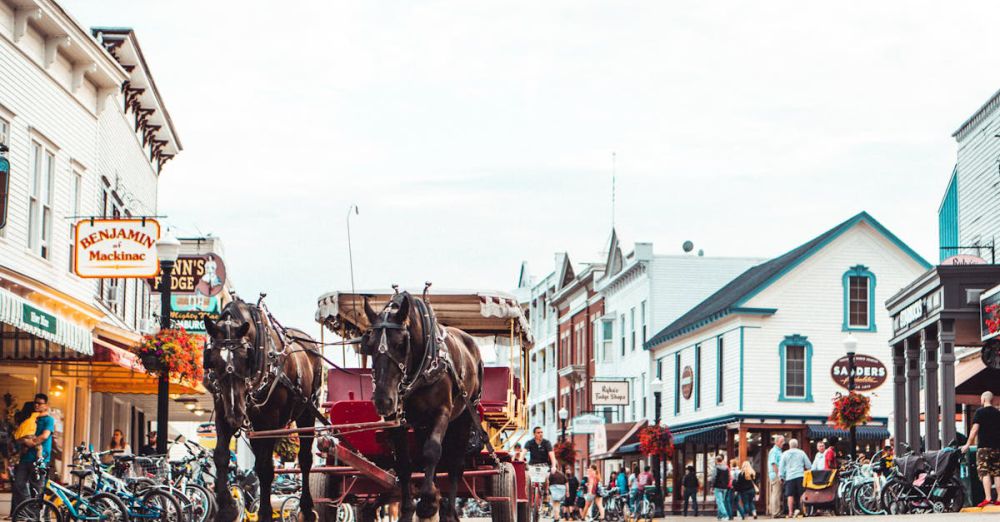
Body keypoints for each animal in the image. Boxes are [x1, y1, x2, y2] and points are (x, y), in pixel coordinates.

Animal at [204, 296, 324, 520]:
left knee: (304, 459)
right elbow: (221, 456)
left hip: (306, 412)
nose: (236, 414)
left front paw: (266, 512)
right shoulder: (223, 413)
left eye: (246, 357)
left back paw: (306, 508)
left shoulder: (270, 421)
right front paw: (227, 508)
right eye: (213, 359)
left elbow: (265, 468)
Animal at [362, 290, 486, 520]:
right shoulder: (396, 420)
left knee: (454, 464)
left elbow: (432, 451)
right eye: (369, 344)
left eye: (401, 343)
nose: (383, 400)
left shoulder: (442, 412)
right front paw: (409, 509)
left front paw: (428, 502)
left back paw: (448, 510)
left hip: (465, 415)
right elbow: (404, 463)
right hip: (421, 424)